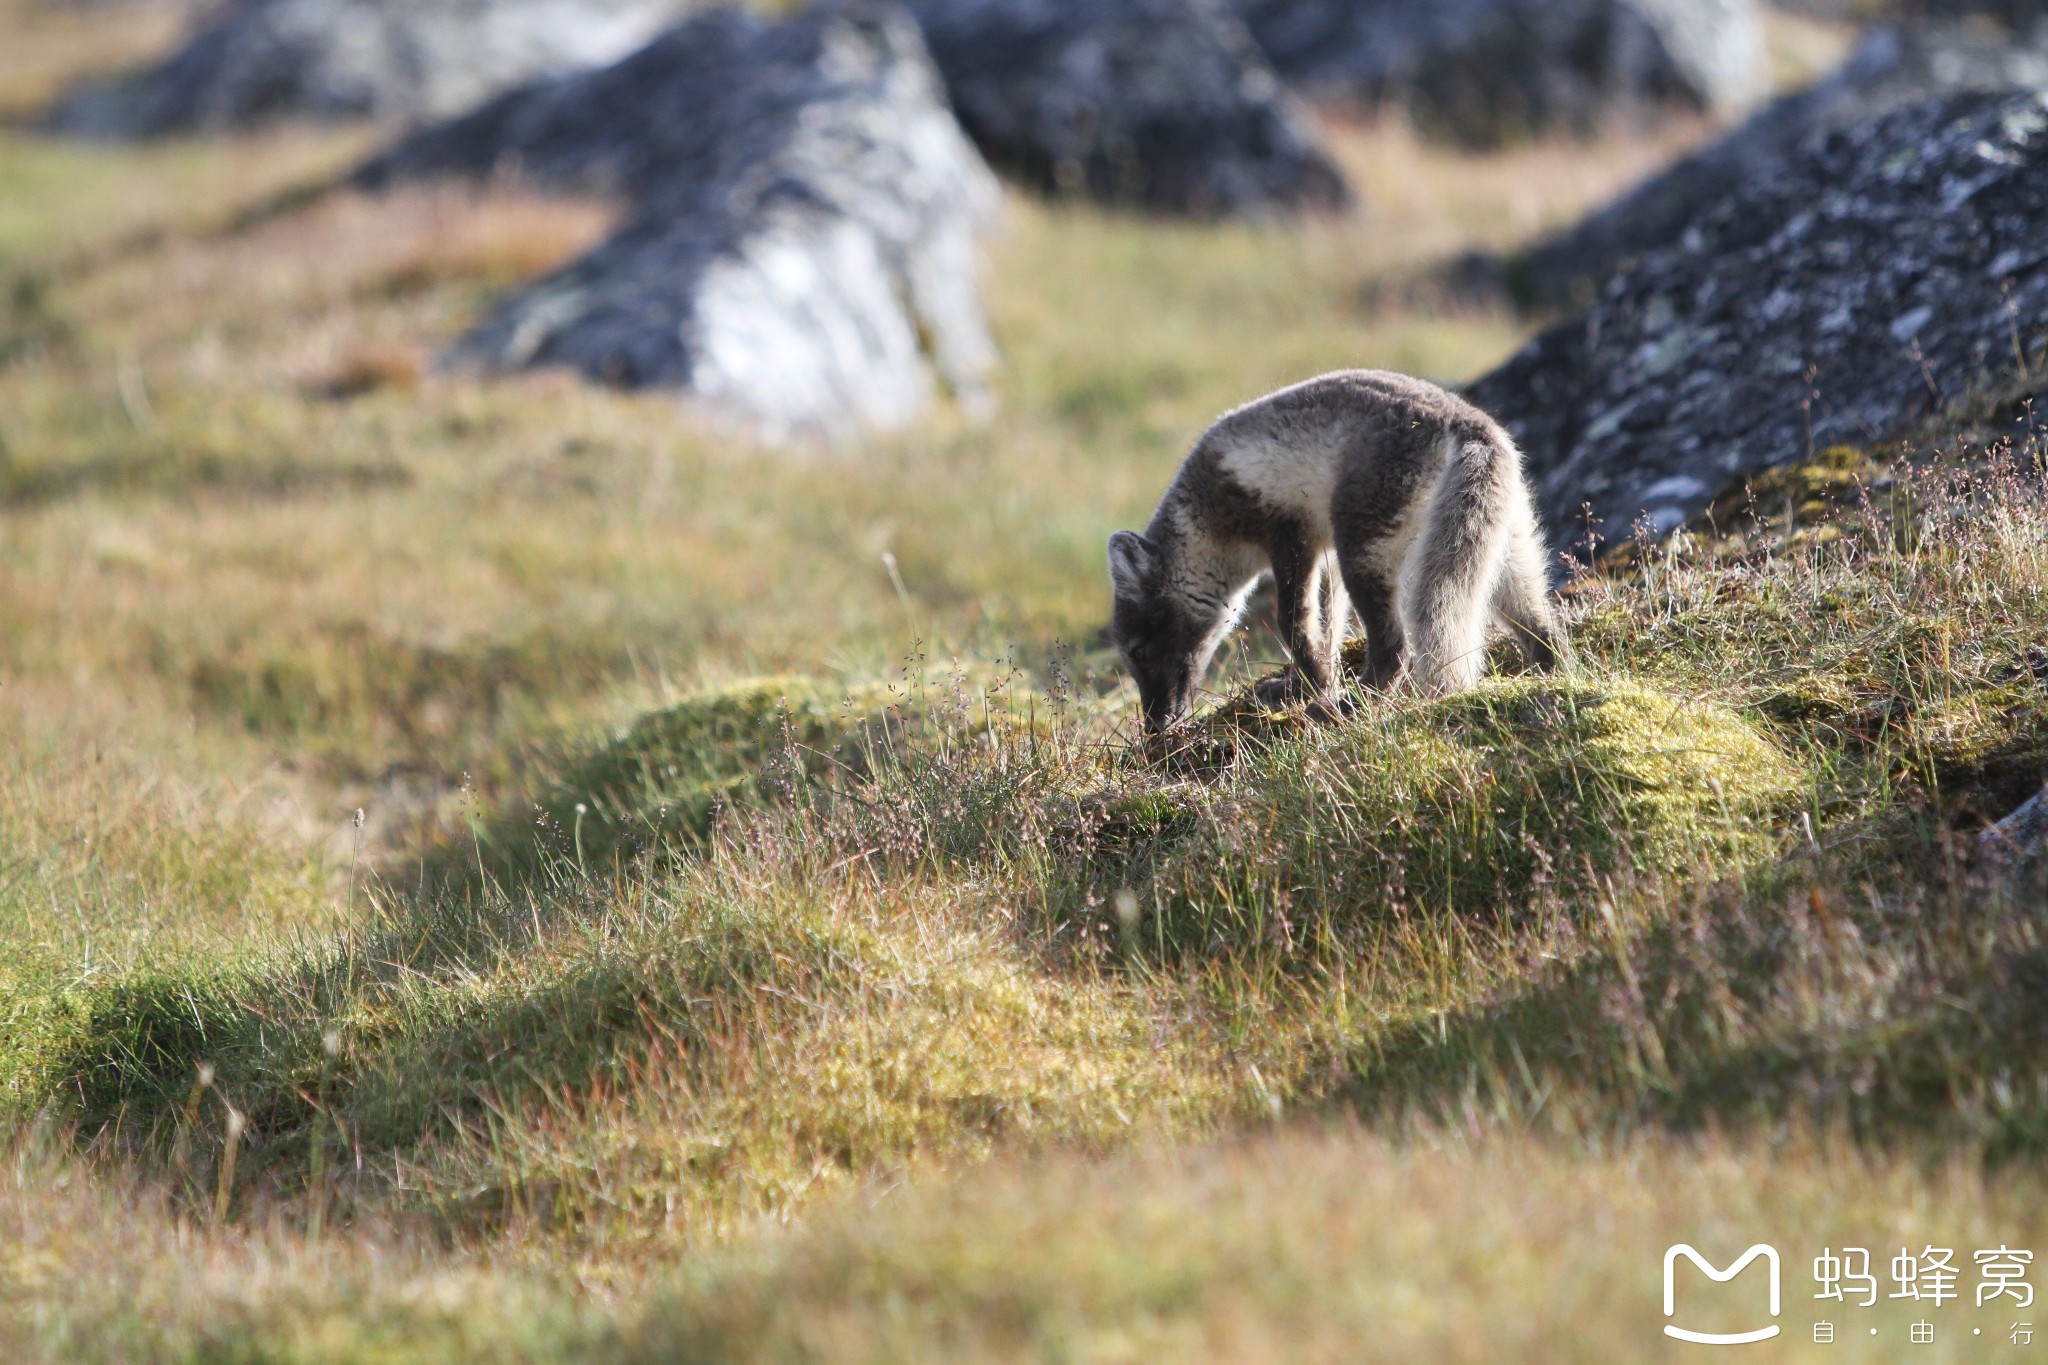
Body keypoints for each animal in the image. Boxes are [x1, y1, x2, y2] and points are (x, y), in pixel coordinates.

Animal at [1114, 370, 1556, 736]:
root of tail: (1468, 424)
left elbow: (1295, 621)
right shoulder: (1325, 558)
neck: (1204, 511)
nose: (1154, 727)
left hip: (1365, 550)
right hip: (1505, 556)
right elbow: (1328, 628)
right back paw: (1550, 678)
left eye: (1138, 650)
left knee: (1396, 649)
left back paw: (1344, 708)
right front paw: (1307, 684)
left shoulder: (1289, 533)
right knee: (1545, 629)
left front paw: (1314, 689)